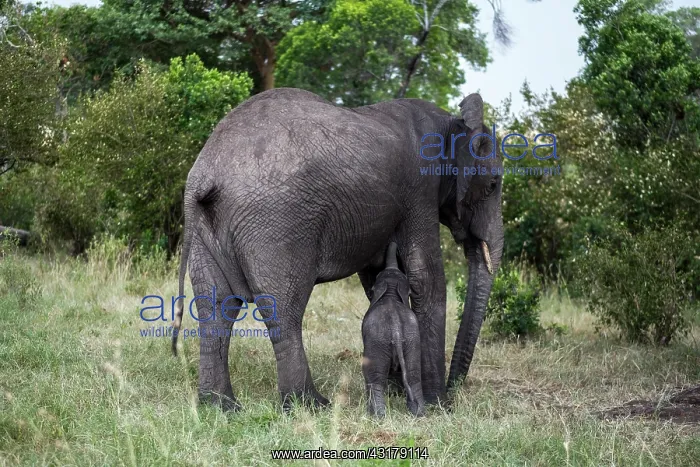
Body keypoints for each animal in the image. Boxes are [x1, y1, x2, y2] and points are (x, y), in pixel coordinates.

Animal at [362, 242, 425, 418]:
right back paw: (419, 413)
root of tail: (396, 332)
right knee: (413, 376)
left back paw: (377, 416)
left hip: (377, 343)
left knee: (375, 378)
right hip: (412, 342)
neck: (390, 291)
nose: (393, 244)